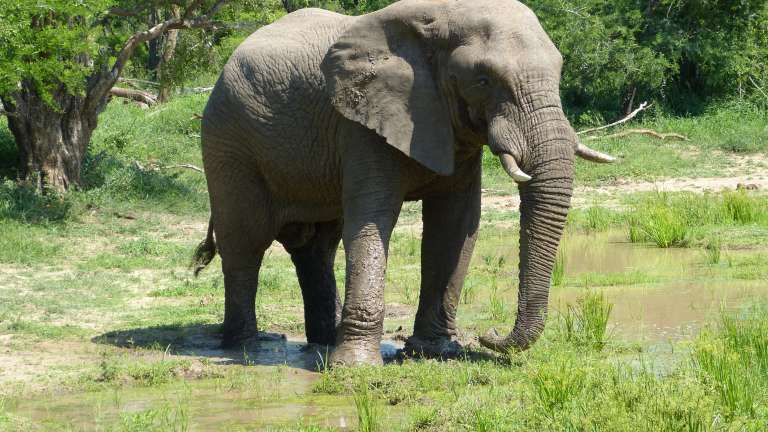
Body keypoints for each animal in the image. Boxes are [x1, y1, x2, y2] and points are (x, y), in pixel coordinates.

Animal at [192, 0, 615, 365]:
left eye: (559, 71)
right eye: (482, 79)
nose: (488, 336)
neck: (437, 18)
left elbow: (455, 225)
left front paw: (435, 351)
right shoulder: (360, 122)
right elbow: (372, 221)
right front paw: (356, 369)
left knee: (316, 246)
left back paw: (322, 342)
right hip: (227, 141)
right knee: (246, 240)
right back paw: (247, 346)